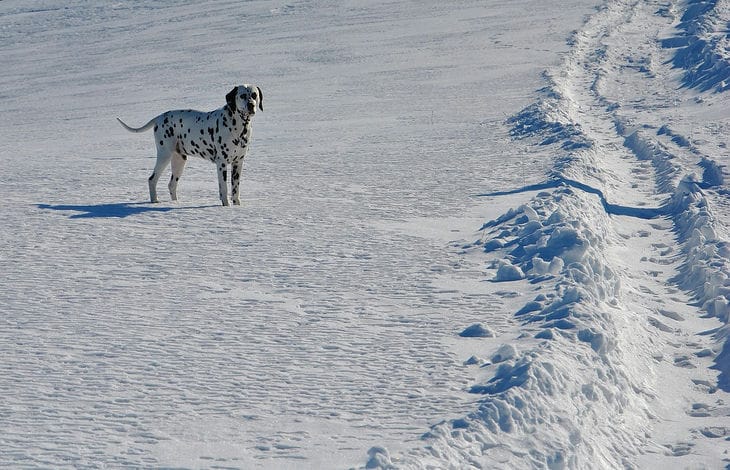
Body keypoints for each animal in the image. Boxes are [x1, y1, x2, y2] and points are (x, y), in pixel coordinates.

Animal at [115, 85, 260, 206]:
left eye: (254, 95)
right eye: (242, 95)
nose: (251, 105)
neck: (239, 127)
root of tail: (159, 117)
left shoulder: (238, 163)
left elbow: (235, 189)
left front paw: (237, 206)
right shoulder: (222, 164)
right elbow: (223, 189)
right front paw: (226, 206)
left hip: (179, 161)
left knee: (171, 185)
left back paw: (175, 203)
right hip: (164, 155)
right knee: (152, 179)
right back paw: (155, 201)